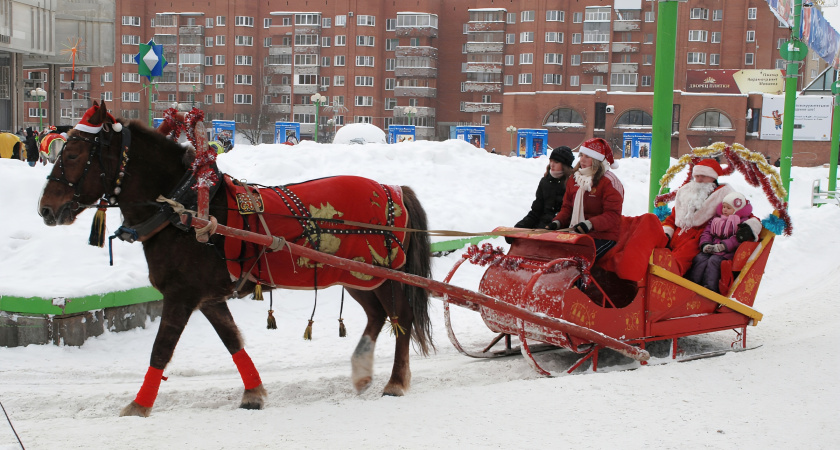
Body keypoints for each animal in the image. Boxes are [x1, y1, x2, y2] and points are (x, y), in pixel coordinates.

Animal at [37, 100, 434, 416]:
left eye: (72, 155)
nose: (46, 209)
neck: (184, 209)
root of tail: (393, 189)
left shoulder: (182, 295)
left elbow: (161, 349)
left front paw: (139, 405)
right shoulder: (208, 298)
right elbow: (233, 341)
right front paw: (253, 392)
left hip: (380, 274)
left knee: (402, 318)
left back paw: (395, 381)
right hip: (357, 277)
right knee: (378, 316)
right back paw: (362, 370)